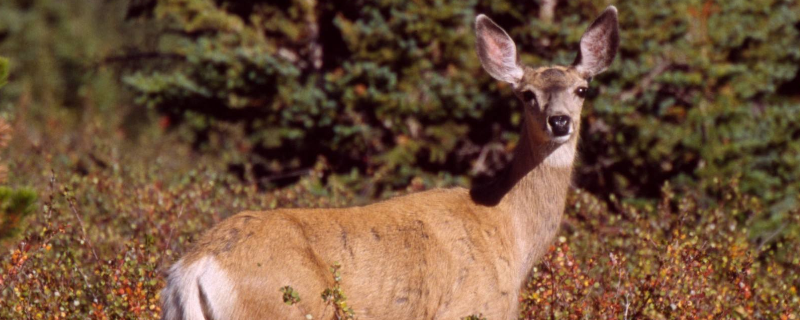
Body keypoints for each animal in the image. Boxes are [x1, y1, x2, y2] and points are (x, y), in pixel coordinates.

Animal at [162, 5, 620, 320]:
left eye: (581, 89)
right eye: (526, 95)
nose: (559, 121)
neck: (510, 230)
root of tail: (194, 268)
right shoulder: (473, 307)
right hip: (281, 307)